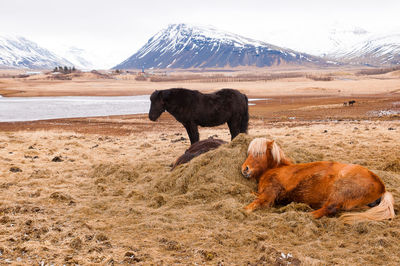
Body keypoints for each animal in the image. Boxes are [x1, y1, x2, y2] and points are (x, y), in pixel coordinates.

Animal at [241, 138, 394, 223]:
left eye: (260, 153)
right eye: (249, 153)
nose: (245, 169)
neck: (276, 168)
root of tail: (382, 187)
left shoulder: (269, 194)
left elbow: (255, 203)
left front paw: (244, 211)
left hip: (340, 191)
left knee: (329, 208)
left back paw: (304, 215)